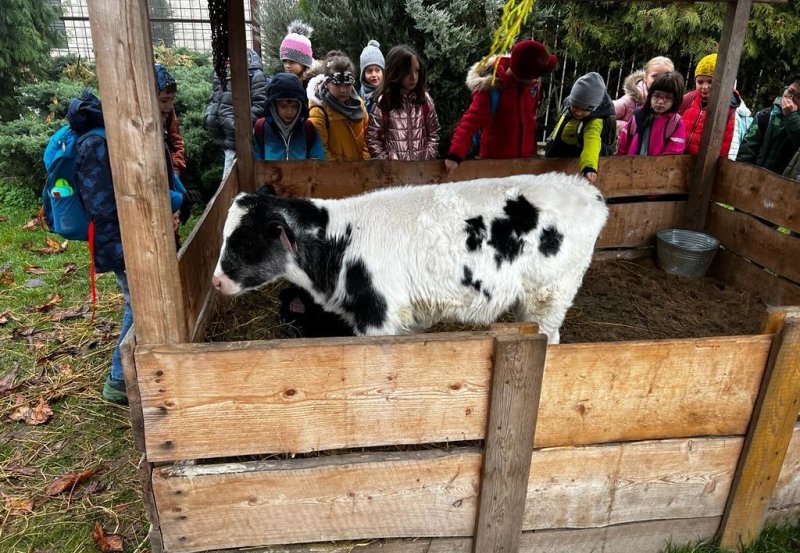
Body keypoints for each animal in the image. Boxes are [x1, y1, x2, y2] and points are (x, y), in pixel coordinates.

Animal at [211, 172, 608, 340]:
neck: (339, 243)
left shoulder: (377, 315)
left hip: (551, 295)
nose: (216, 281)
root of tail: (586, 190)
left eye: (245, 244)